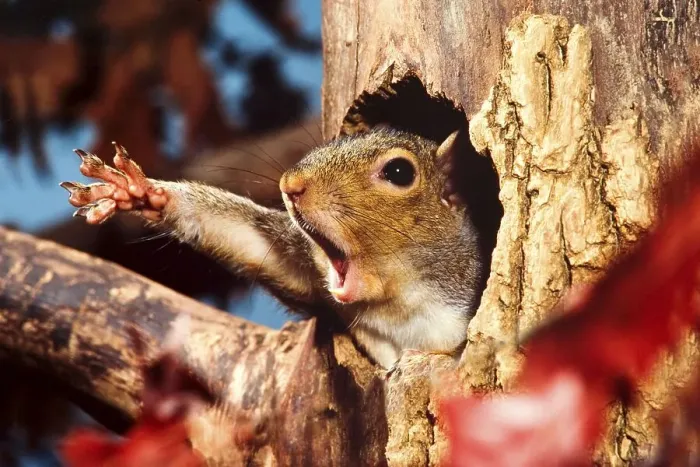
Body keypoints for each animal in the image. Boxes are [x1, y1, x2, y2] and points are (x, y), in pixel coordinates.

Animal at [60, 127, 486, 369]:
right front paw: (137, 192)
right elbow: (248, 237)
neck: (402, 299)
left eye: (399, 172)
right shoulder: (313, 279)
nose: (290, 185)